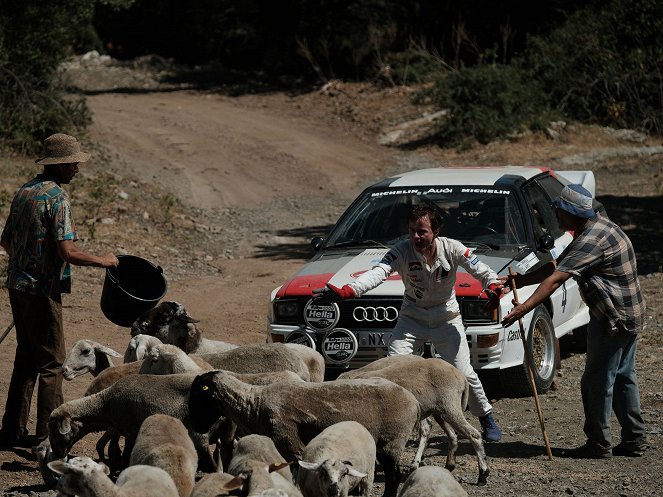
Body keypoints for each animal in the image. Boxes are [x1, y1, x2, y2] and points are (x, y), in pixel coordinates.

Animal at [47, 372, 218, 472]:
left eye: (56, 430)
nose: (56, 453)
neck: (105, 404)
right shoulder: (122, 430)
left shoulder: (130, 430)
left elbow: (126, 454)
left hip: (200, 433)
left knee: (212, 464)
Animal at [187, 368, 420, 496]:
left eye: (199, 392)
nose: (196, 427)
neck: (253, 405)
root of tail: (414, 401)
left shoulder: (292, 445)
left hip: (392, 442)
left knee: (393, 477)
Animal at [340, 352, 490, 484]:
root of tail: (461, 376)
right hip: (438, 410)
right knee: (448, 433)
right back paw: (447, 465)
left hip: (449, 405)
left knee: (474, 435)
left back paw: (483, 474)